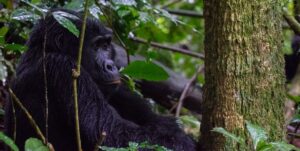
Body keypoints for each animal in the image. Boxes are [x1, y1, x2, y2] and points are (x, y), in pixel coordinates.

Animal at [5, 8, 197, 151]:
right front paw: (185, 142)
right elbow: (116, 136)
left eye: (106, 46)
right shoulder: (63, 68)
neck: (41, 51)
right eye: (96, 46)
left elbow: (154, 121)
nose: (111, 66)